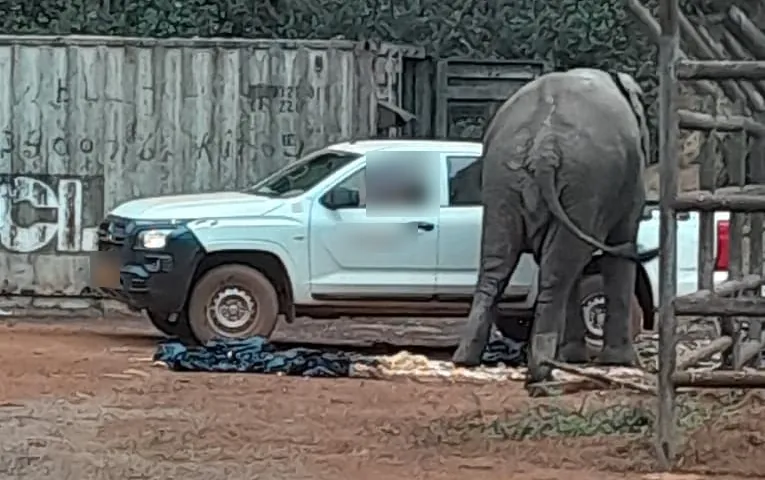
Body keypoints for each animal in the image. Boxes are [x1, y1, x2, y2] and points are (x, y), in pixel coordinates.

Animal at [451, 68, 650, 384]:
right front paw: (622, 362)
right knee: (559, 271)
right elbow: (620, 246)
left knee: (497, 264)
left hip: (502, 179)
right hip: (585, 182)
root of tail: (544, 147)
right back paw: (543, 368)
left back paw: (466, 360)